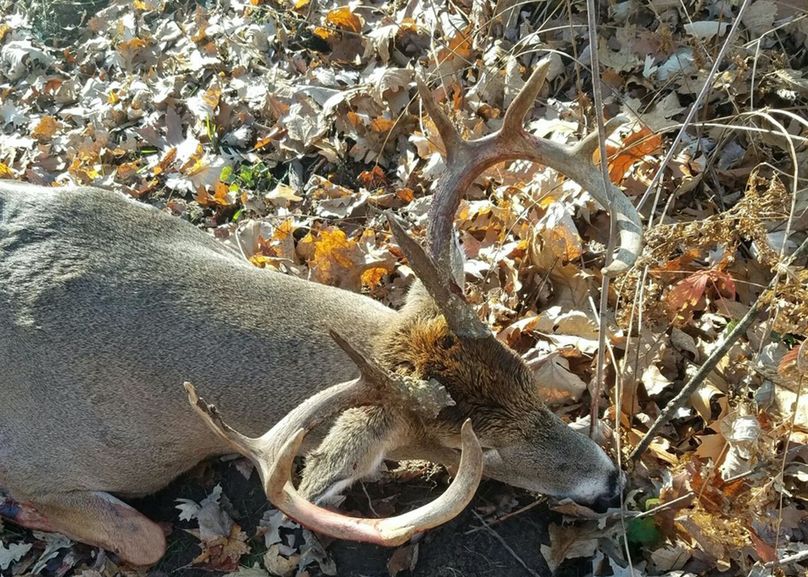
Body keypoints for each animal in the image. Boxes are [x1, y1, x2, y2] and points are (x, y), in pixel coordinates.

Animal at [0, 58, 642, 566]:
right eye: (478, 452)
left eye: (529, 382)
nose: (612, 482)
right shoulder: (37, 466)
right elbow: (146, 538)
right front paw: (19, 511)